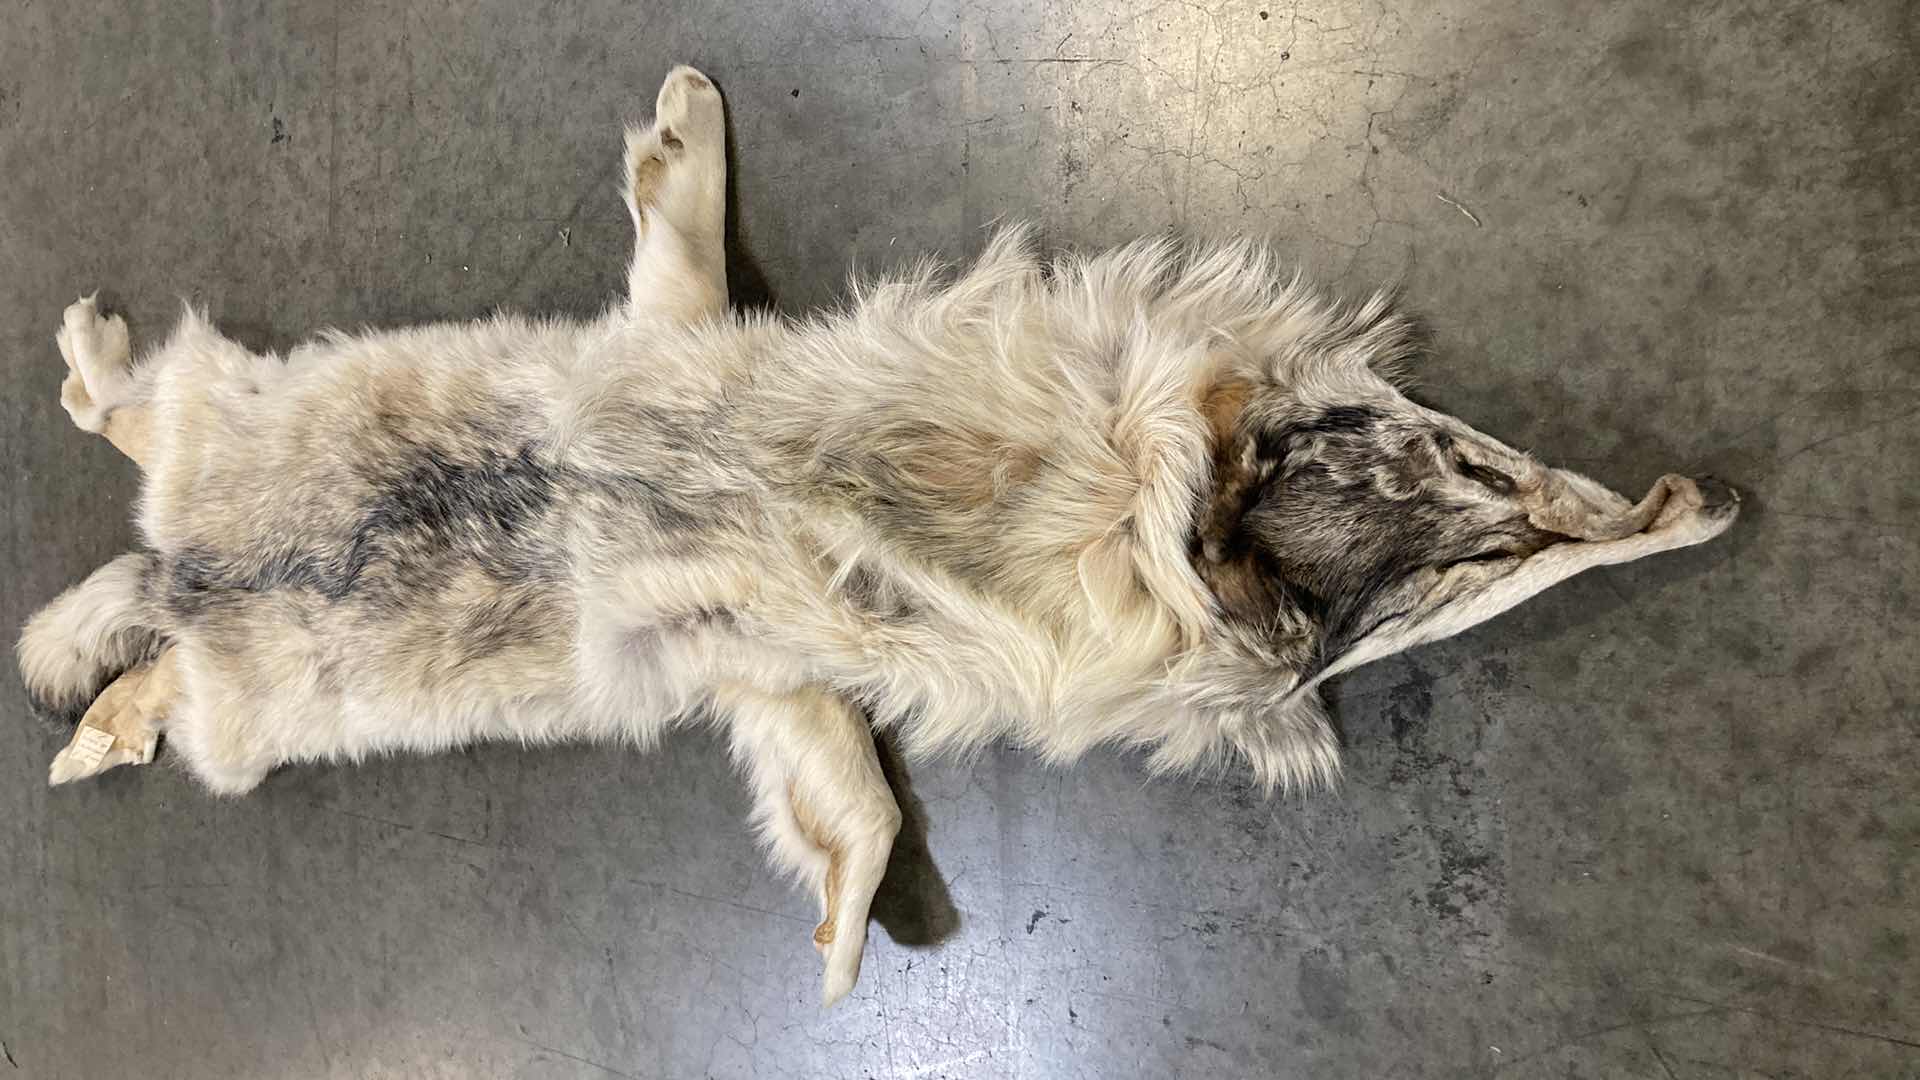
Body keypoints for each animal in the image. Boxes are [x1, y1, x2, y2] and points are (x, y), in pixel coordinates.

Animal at [16, 66, 1737, 1005]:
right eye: (1439, 446)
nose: (1677, 493)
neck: (1100, 512)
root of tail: (192, 563)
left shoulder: (781, 668)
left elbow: (847, 805)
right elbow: (860, 807)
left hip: (240, 573)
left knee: (141, 555)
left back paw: (97, 683)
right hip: (235, 501)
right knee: (133, 447)